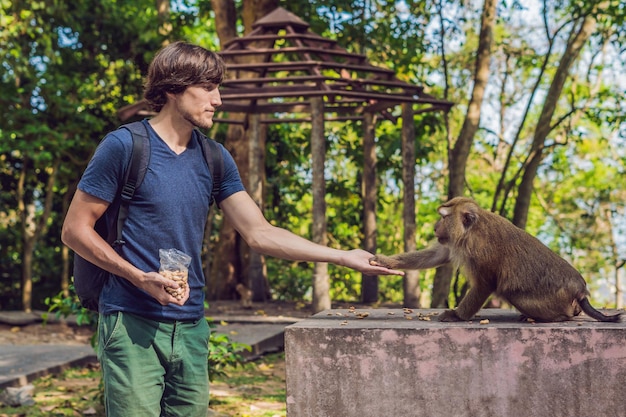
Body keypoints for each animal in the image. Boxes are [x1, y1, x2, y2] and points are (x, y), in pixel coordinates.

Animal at [368, 197, 616, 322]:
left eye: (443, 218)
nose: (435, 227)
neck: (471, 231)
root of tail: (580, 289)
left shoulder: (482, 251)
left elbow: (485, 284)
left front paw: (457, 315)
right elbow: (435, 255)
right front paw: (385, 261)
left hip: (556, 298)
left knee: (513, 292)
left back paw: (558, 318)